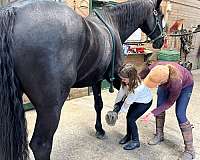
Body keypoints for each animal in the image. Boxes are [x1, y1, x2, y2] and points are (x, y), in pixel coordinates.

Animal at [0, 0, 164, 159]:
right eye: (161, 16)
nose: (161, 41)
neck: (113, 23)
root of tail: (13, 10)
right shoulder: (120, 77)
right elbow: (128, 102)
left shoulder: (96, 80)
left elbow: (99, 104)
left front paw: (100, 130)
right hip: (50, 107)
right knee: (41, 145)